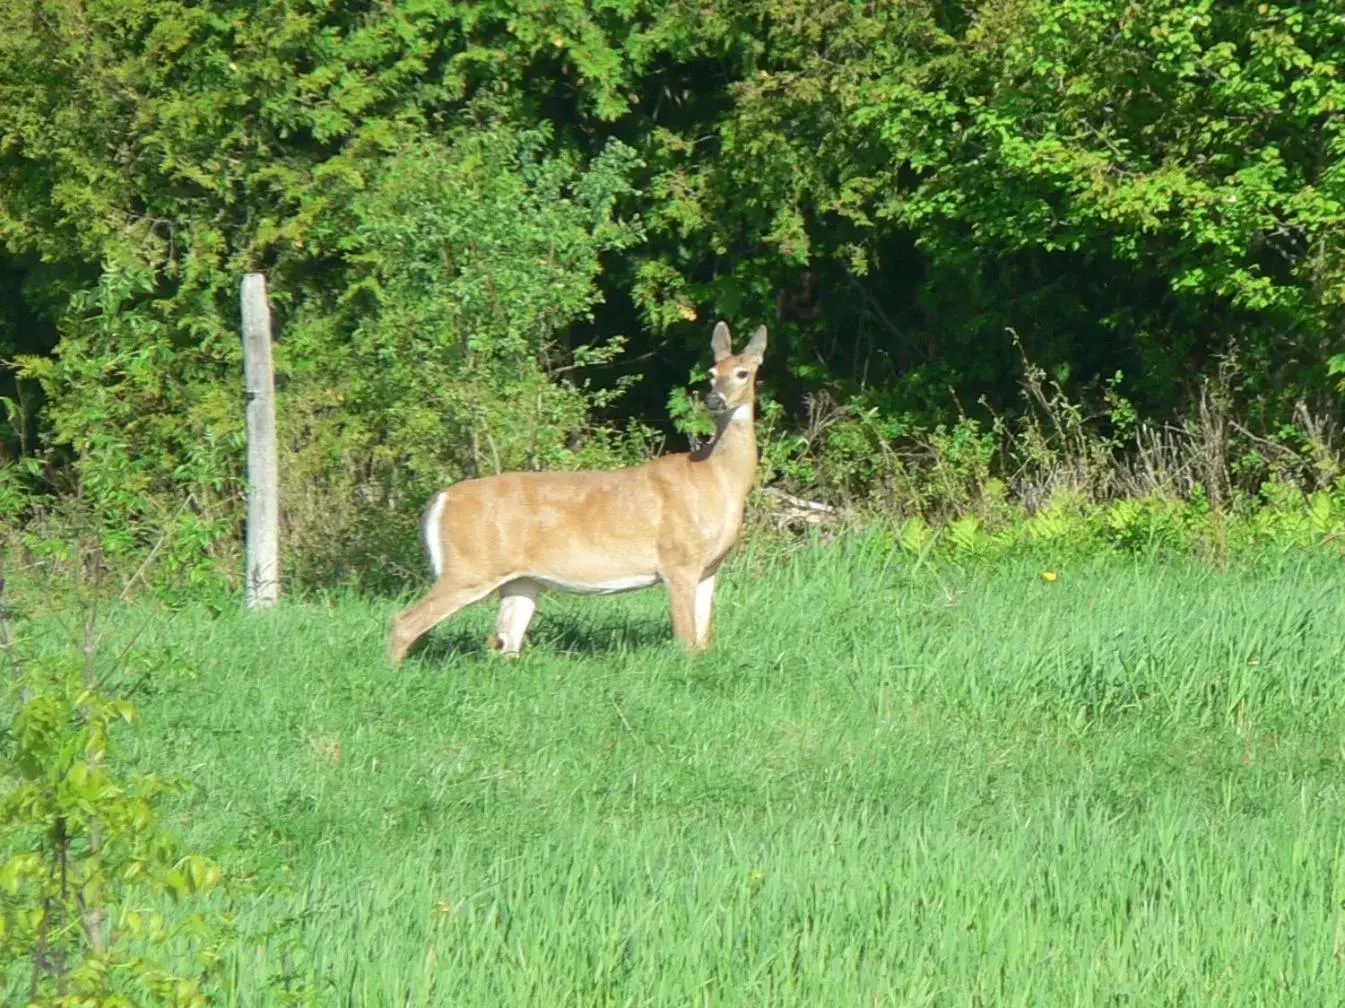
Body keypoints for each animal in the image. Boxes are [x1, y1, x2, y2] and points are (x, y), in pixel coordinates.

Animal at [390, 320, 769, 659]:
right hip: (470, 565)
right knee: (404, 622)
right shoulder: (677, 559)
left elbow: (704, 642)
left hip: (519, 581)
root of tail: (442, 498)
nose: (714, 400)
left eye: (742, 373)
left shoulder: (709, 568)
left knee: (506, 643)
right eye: (711, 372)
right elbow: (687, 642)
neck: (714, 478)